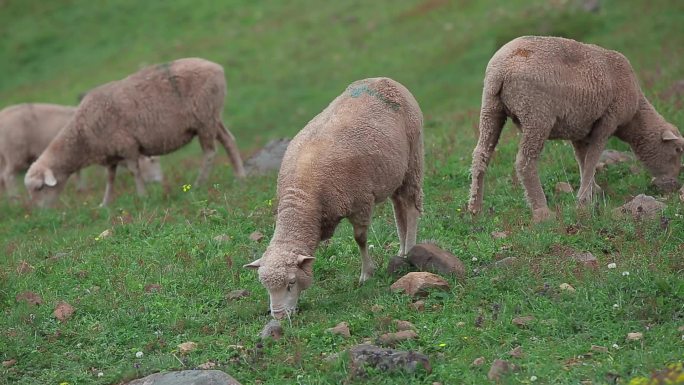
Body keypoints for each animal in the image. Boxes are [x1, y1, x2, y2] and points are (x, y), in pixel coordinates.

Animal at [0, 102, 163, 200]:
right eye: (152, 161)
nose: (159, 181)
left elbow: (78, 171)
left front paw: (80, 188)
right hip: (15, 154)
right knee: (8, 176)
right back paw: (14, 199)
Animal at [25, 57, 247, 206]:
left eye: (40, 188)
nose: (40, 212)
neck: (83, 135)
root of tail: (216, 67)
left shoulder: (127, 145)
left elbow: (134, 171)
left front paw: (142, 195)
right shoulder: (111, 154)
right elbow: (110, 179)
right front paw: (105, 204)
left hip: (204, 119)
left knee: (210, 152)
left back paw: (200, 183)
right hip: (212, 117)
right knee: (229, 140)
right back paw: (240, 176)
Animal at [240, 77, 422, 318]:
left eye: (291, 283)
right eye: (265, 287)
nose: (278, 317)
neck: (304, 198)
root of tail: (384, 79)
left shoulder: (360, 201)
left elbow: (360, 239)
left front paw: (367, 274)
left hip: (413, 157)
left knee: (411, 207)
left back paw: (409, 250)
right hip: (394, 172)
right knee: (398, 208)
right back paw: (401, 252)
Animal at [470, 36, 684, 222]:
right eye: (677, 150)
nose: (673, 183)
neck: (635, 117)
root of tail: (501, 69)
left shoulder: (580, 130)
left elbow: (583, 160)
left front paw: (592, 190)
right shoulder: (607, 122)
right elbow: (592, 160)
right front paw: (583, 201)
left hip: (491, 107)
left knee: (481, 154)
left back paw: (475, 208)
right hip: (536, 115)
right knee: (525, 162)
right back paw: (542, 212)